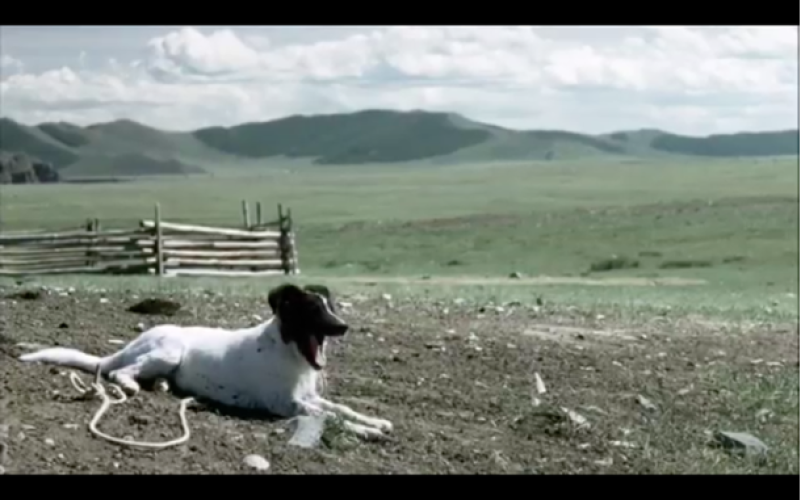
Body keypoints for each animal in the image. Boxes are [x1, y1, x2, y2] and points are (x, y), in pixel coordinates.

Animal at [18, 284, 394, 440]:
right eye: (313, 310)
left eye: (331, 307)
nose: (343, 326)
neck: (290, 353)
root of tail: (134, 341)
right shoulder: (288, 404)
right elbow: (329, 417)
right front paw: (366, 431)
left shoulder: (309, 396)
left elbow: (341, 409)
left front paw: (374, 421)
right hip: (168, 350)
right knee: (119, 371)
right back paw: (130, 384)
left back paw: (162, 385)